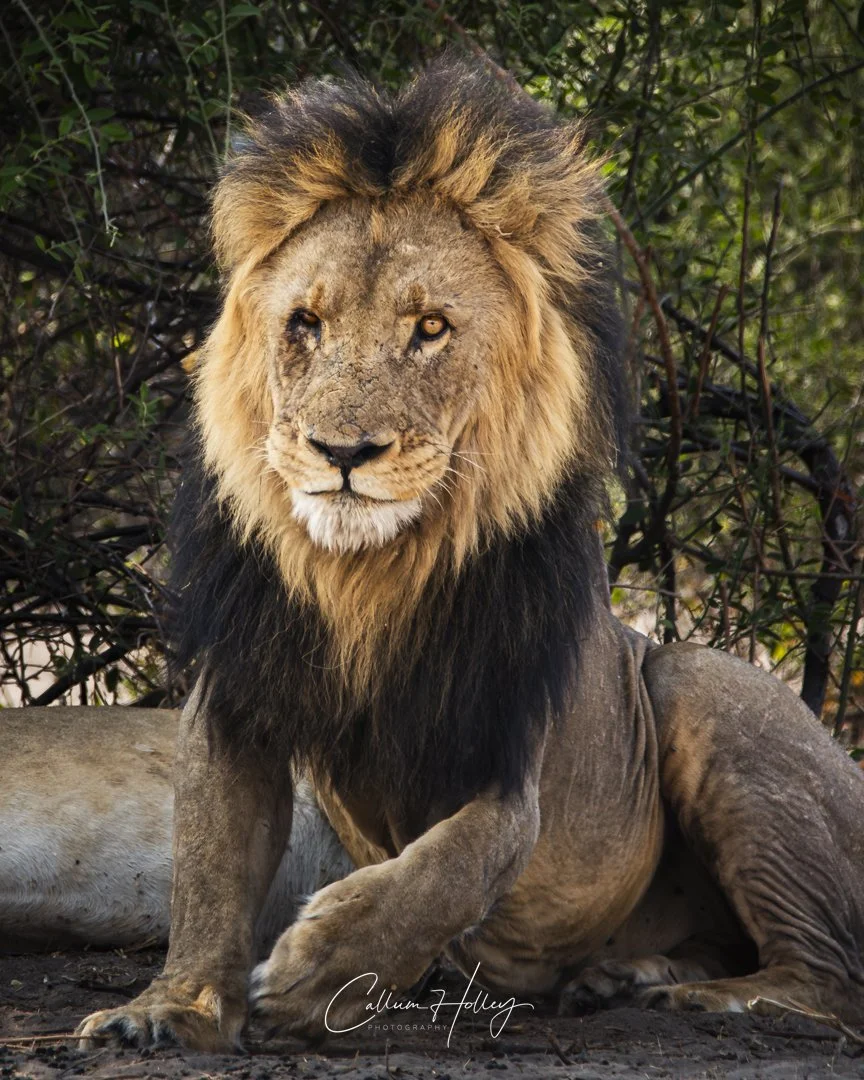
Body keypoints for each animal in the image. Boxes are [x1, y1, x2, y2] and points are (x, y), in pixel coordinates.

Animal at [69, 59, 864, 1050]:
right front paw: (172, 1009)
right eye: (305, 323)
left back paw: (713, 998)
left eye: (431, 329)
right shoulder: (236, 697)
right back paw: (624, 976)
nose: (341, 452)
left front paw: (320, 971)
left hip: (698, 686)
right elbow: (208, 873)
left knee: (831, 976)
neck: (364, 577)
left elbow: (447, 871)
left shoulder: (504, 753)